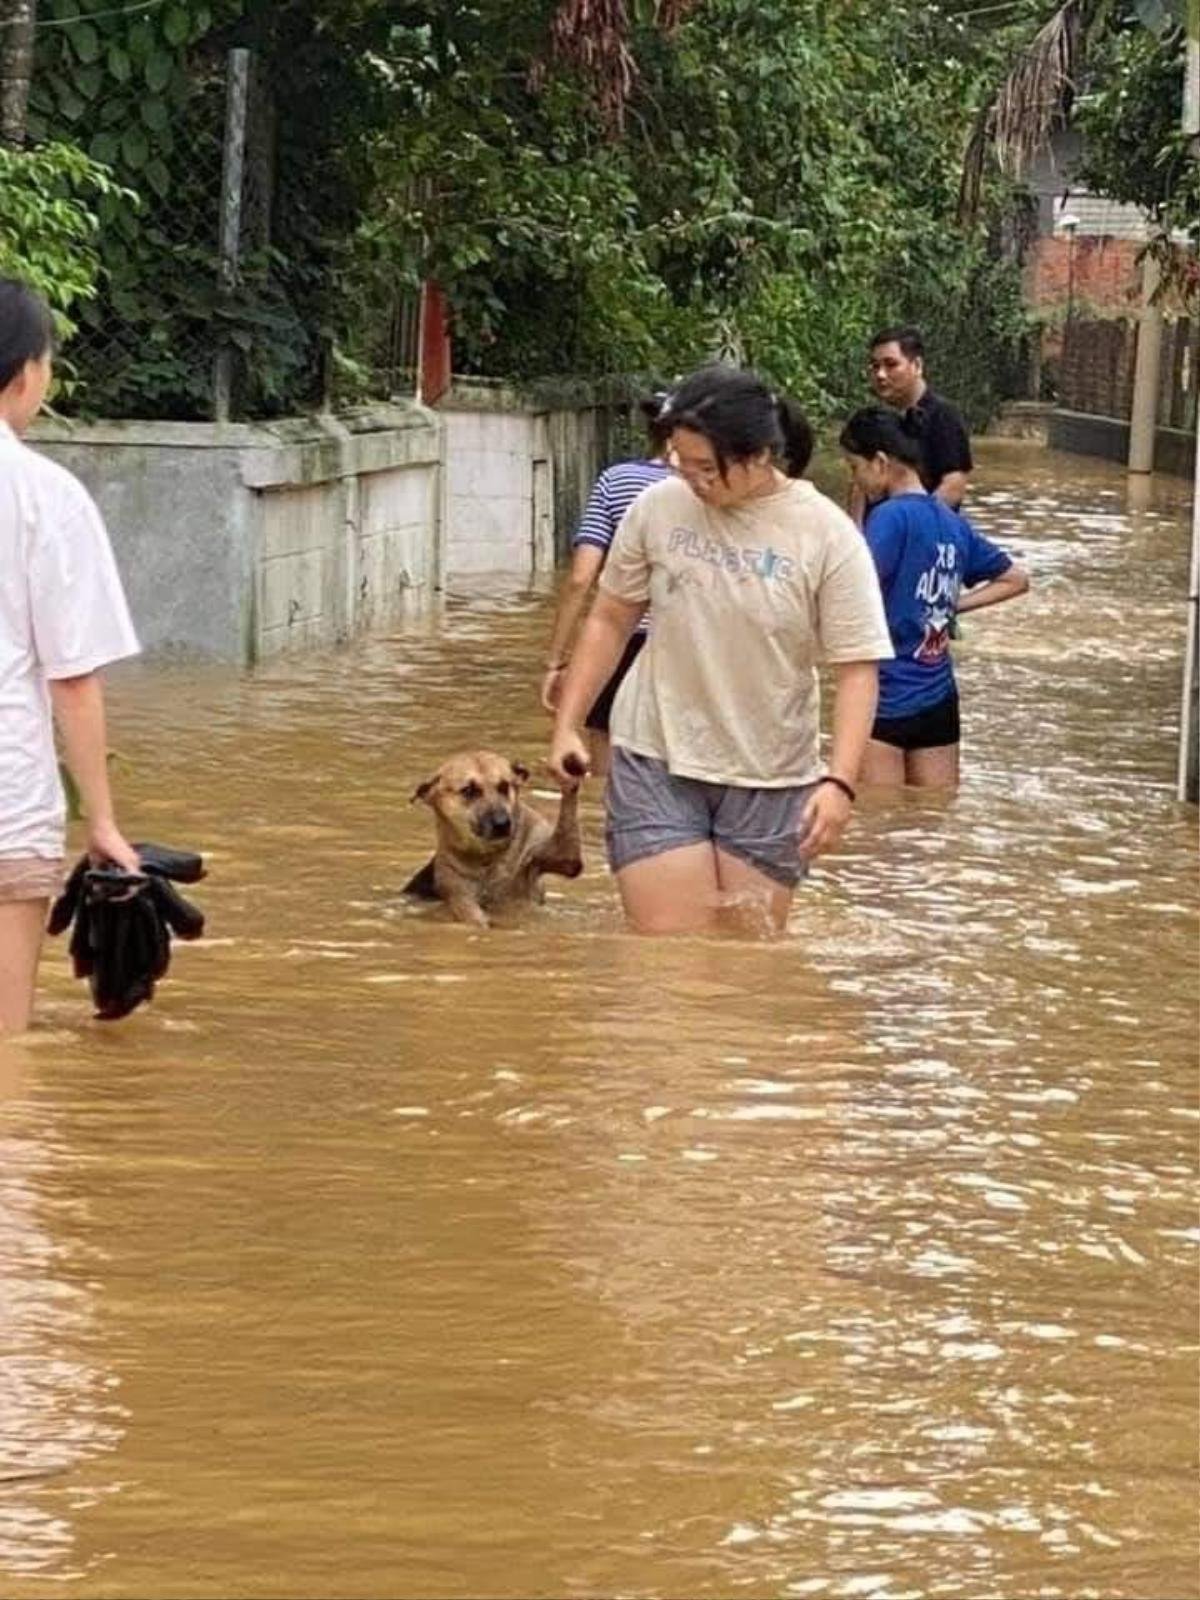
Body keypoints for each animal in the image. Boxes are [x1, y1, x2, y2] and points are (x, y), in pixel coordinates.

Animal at [406, 748, 585, 928]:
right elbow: (473, 913)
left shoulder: (562, 858)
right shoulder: (459, 892)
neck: (489, 858)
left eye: (504, 786)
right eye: (468, 790)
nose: (502, 824)